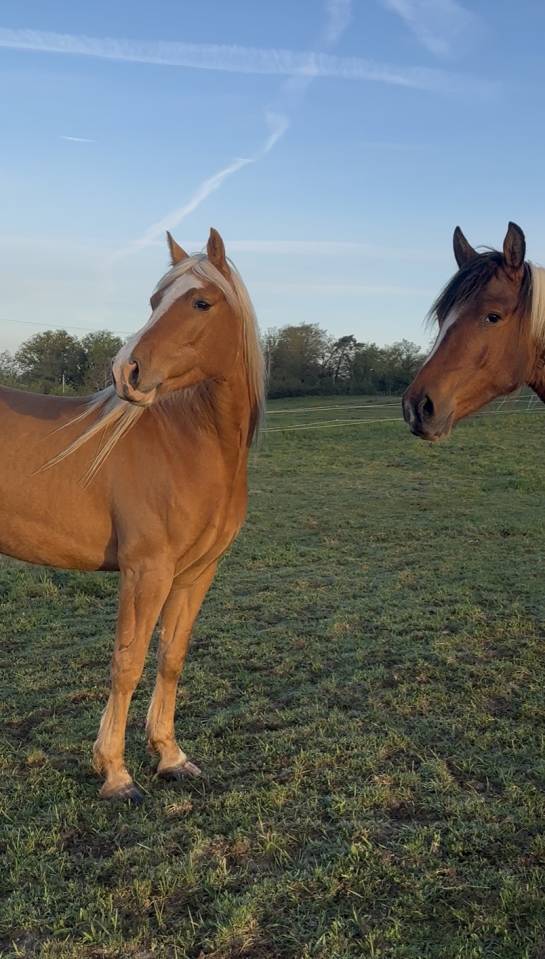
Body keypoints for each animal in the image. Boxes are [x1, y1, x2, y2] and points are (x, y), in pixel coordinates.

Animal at [1, 228, 265, 803]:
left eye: (201, 302)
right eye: (154, 300)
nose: (128, 371)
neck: (189, 442)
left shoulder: (195, 573)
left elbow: (170, 657)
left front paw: (170, 756)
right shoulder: (146, 571)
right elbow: (127, 661)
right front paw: (115, 772)